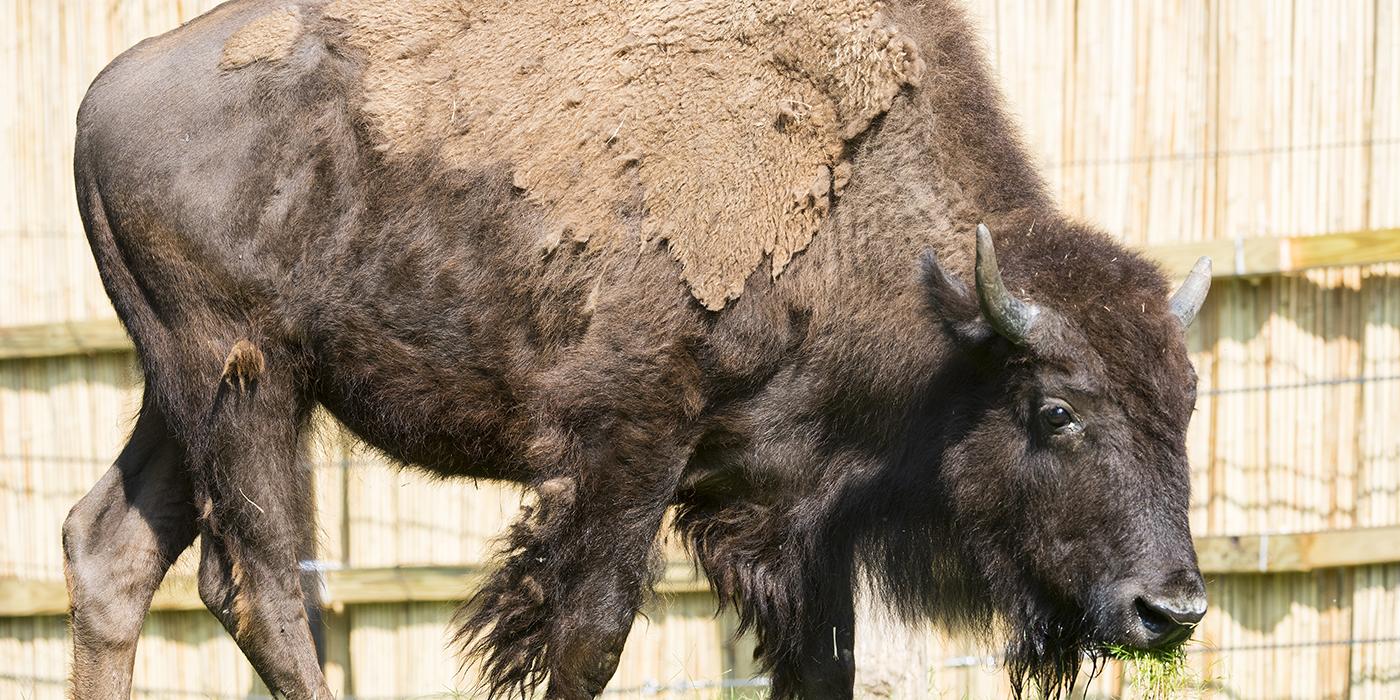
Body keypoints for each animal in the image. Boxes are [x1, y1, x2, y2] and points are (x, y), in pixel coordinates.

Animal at [60, 1, 1209, 700]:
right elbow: (590, 634)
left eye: (1186, 405)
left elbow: (821, 660)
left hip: (176, 396)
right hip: (244, 380)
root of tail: (99, 93)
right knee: (261, 587)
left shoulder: (795, 512)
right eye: (1055, 409)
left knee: (109, 550)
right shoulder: (629, 444)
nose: (1171, 608)